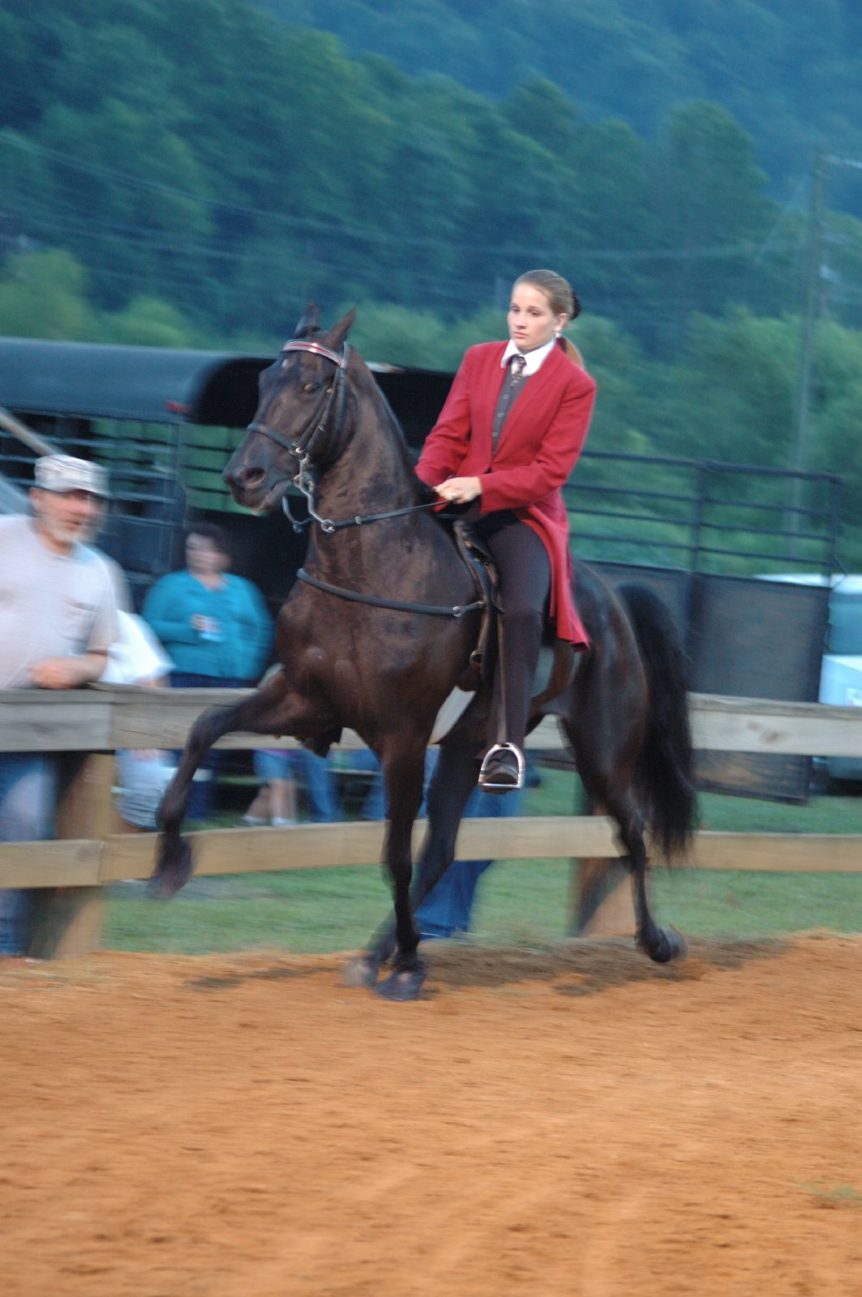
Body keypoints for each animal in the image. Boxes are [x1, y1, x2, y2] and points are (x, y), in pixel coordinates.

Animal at [153, 305, 696, 999]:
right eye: (265, 379)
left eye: (311, 386)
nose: (242, 477)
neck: (371, 565)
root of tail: (613, 600)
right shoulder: (301, 699)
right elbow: (204, 728)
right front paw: (170, 861)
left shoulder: (403, 736)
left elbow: (393, 853)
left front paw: (411, 964)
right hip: (468, 743)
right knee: (443, 849)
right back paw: (374, 953)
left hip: (601, 748)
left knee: (630, 831)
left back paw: (656, 942)